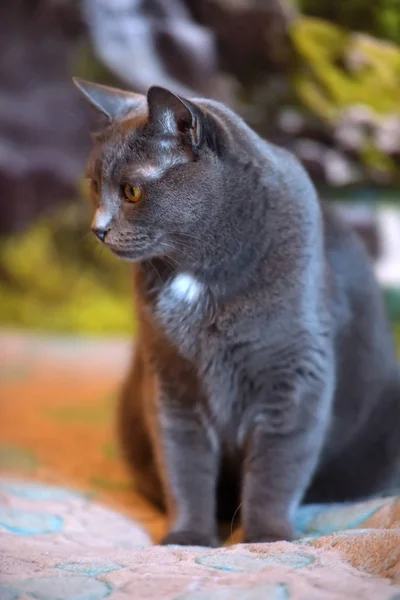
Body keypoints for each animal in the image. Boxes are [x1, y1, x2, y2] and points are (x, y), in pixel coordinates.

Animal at [74, 77, 400, 548]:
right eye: (94, 186)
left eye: (132, 191)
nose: (97, 229)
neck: (198, 274)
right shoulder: (170, 381)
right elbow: (183, 465)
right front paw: (188, 537)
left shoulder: (294, 377)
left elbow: (276, 468)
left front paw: (265, 539)